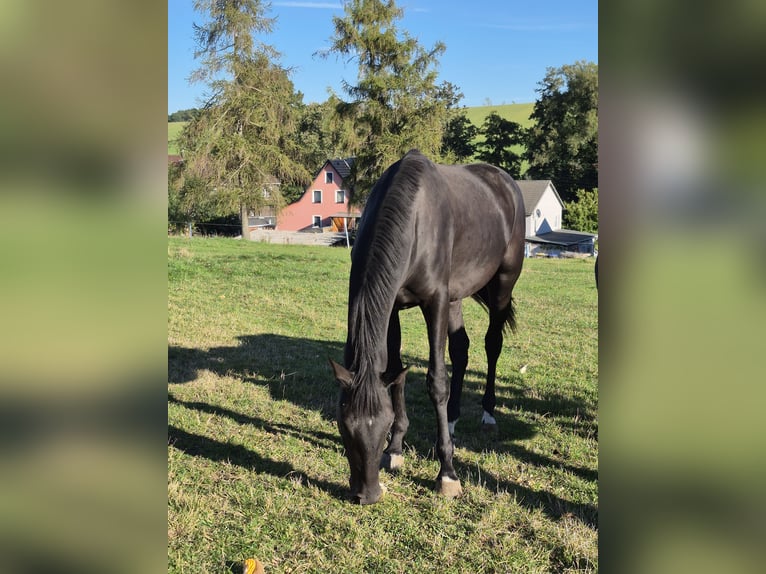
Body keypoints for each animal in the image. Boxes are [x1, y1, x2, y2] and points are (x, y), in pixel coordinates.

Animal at [329, 149, 525, 504]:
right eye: (344, 426)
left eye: (383, 424)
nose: (367, 494)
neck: (414, 221)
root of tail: (504, 181)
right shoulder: (393, 306)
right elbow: (395, 371)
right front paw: (395, 450)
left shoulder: (435, 301)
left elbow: (436, 381)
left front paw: (447, 472)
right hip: (456, 295)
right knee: (461, 349)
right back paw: (454, 418)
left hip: (502, 284)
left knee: (492, 344)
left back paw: (488, 414)